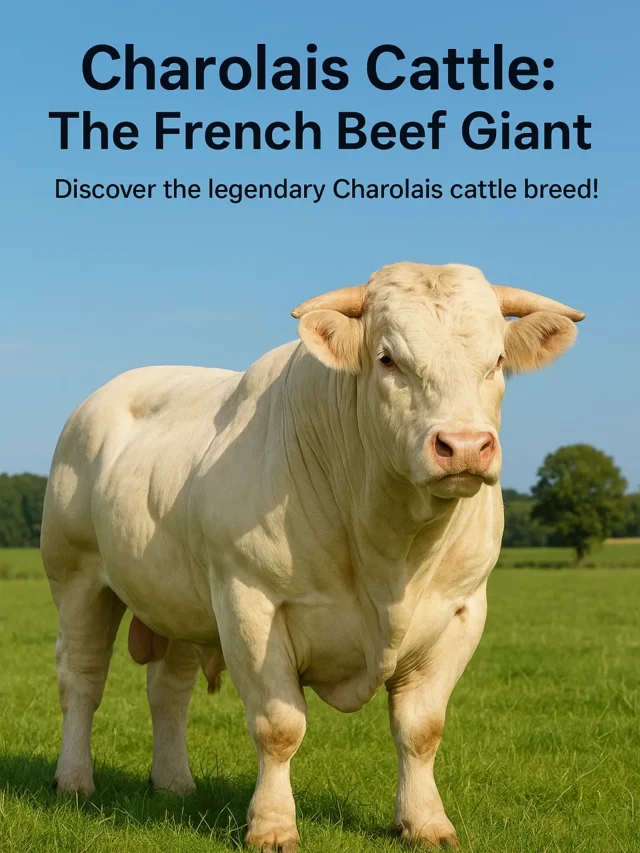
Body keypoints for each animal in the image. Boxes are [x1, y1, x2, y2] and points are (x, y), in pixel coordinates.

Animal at [41, 262, 584, 851]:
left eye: (498, 360)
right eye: (388, 358)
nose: (463, 446)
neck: (392, 553)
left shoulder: (462, 610)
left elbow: (421, 729)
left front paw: (425, 823)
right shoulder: (249, 602)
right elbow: (279, 726)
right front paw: (273, 826)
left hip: (179, 601)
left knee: (168, 690)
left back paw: (174, 784)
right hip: (76, 576)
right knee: (82, 679)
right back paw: (74, 780)